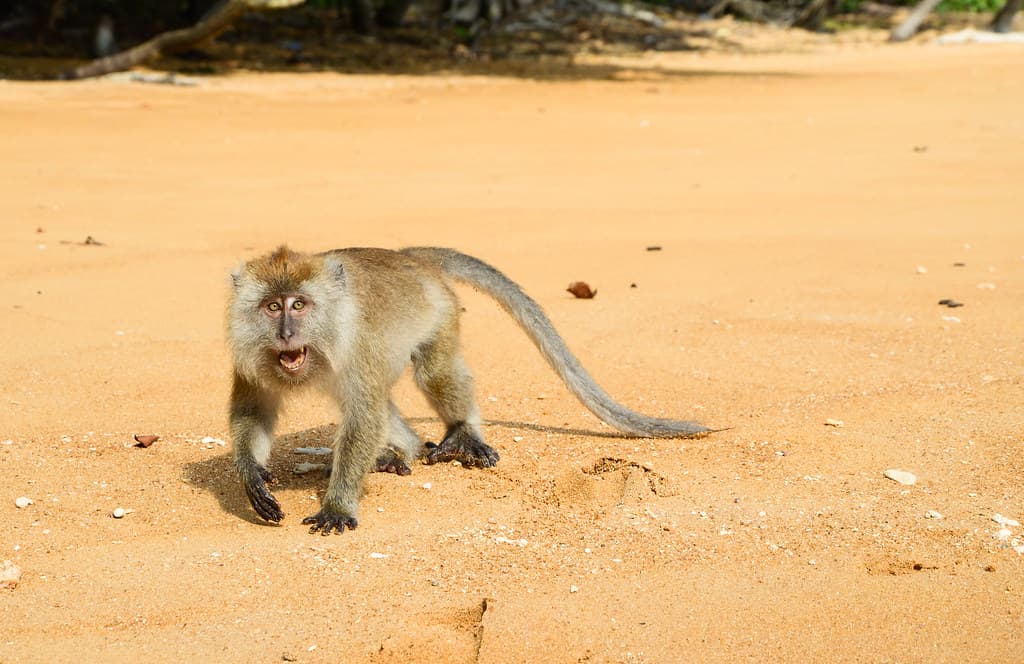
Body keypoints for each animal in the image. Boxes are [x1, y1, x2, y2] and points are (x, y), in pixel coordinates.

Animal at [228, 246, 711, 534]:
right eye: (271, 306)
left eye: (299, 304)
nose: (287, 333)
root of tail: (407, 256)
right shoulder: (250, 354)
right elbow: (254, 409)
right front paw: (251, 474)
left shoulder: (357, 347)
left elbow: (364, 416)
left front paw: (339, 506)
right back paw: (398, 453)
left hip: (440, 310)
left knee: (433, 372)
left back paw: (459, 434)